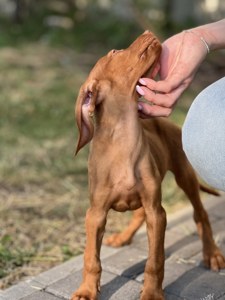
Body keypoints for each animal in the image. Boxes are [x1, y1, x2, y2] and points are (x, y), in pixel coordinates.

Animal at [73, 31, 224, 300]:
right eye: (114, 52)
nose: (146, 33)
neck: (124, 140)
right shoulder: (95, 213)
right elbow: (91, 258)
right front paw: (87, 290)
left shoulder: (158, 212)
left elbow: (155, 260)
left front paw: (152, 292)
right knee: (139, 215)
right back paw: (123, 237)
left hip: (184, 176)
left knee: (201, 215)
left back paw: (212, 254)